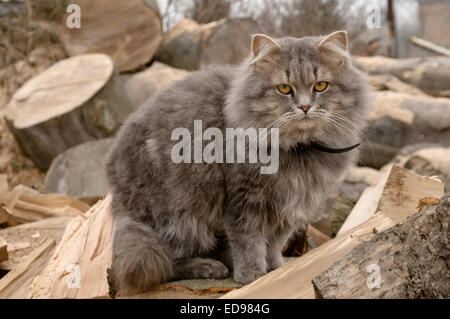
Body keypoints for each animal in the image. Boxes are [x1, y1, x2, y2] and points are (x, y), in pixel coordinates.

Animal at [107, 31, 370, 294]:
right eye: (284, 88)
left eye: (320, 86)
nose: (305, 107)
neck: (299, 149)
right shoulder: (243, 197)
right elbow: (248, 240)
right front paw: (251, 274)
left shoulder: (290, 203)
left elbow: (275, 242)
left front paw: (276, 268)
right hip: (182, 215)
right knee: (167, 261)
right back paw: (209, 266)